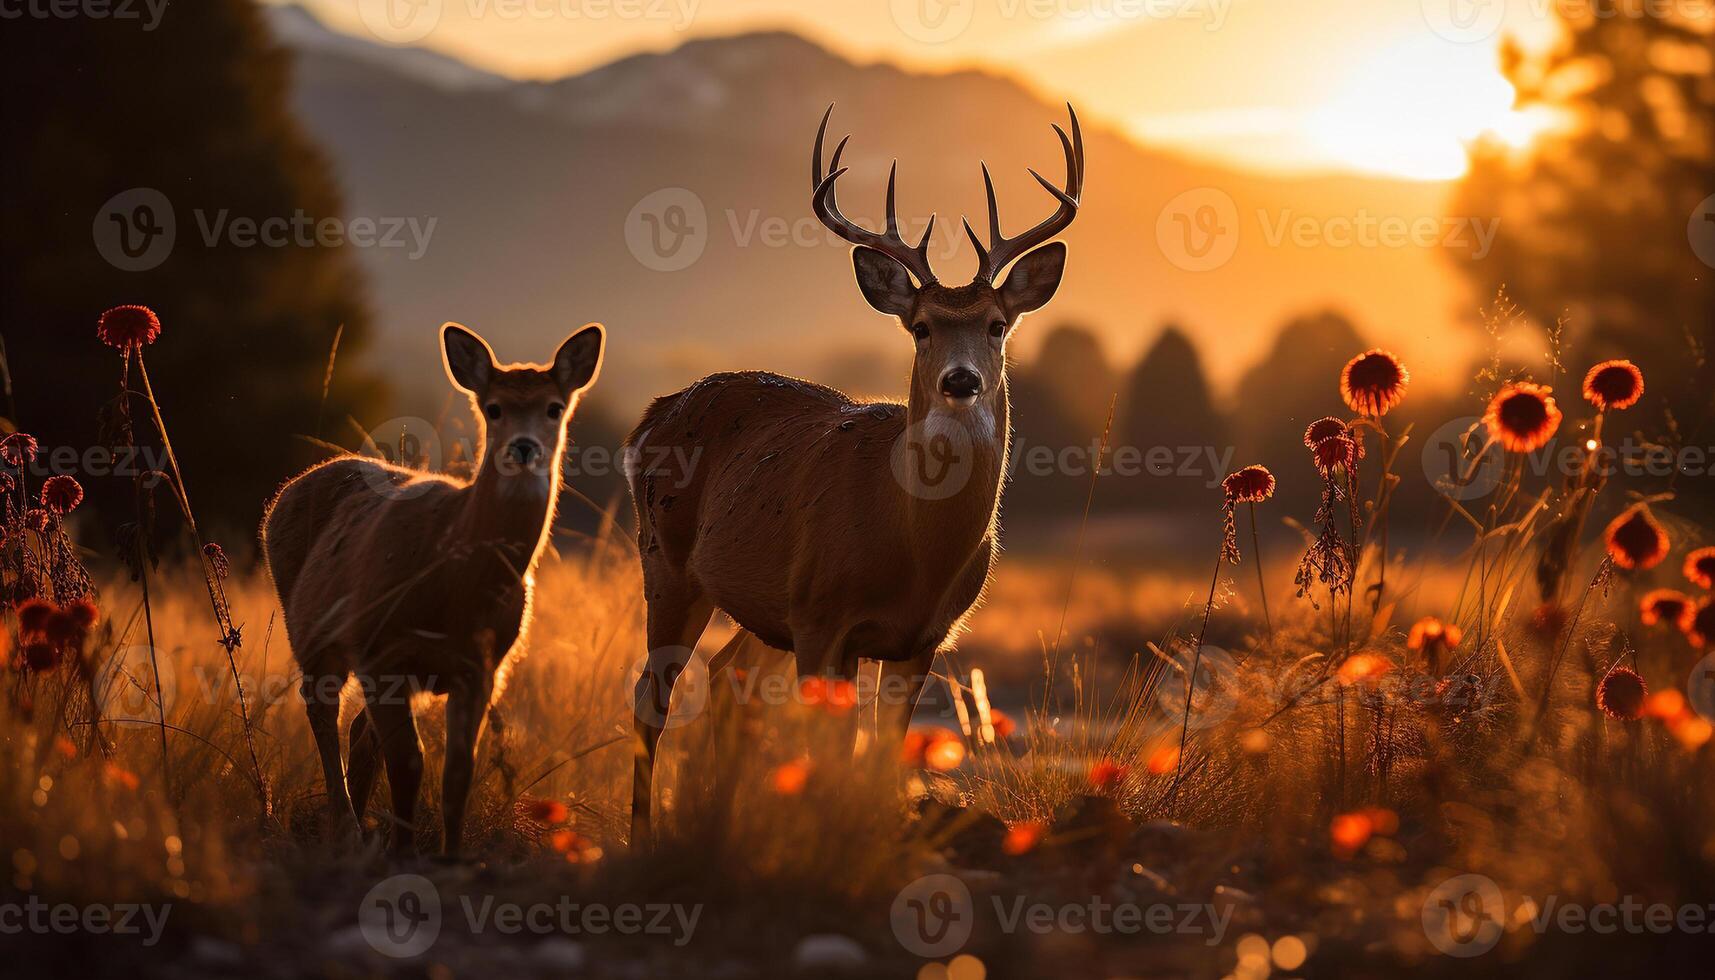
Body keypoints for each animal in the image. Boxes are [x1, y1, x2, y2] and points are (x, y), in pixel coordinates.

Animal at [257, 320, 600, 851]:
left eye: (553, 407)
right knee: (322, 713)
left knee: (358, 730)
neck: (457, 585)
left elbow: (457, 771)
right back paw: (346, 826)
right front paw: (402, 851)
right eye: (494, 407)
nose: (524, 446)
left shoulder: (480, 668)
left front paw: (450, 855)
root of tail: (283, 494)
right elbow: (409, 763)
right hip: (310, 633)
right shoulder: (381, 651)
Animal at [631, 105, 1083, 844]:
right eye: (921, 326)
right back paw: (640, 835)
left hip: (763, 607)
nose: (961, 380)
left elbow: (877, 758)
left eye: (995, 324)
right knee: (654, 694)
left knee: (726, 677)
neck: (911, 545)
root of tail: (653, 412)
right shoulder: (822, 618)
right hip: (667, 562)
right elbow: (829, 754)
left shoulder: (919, 640)